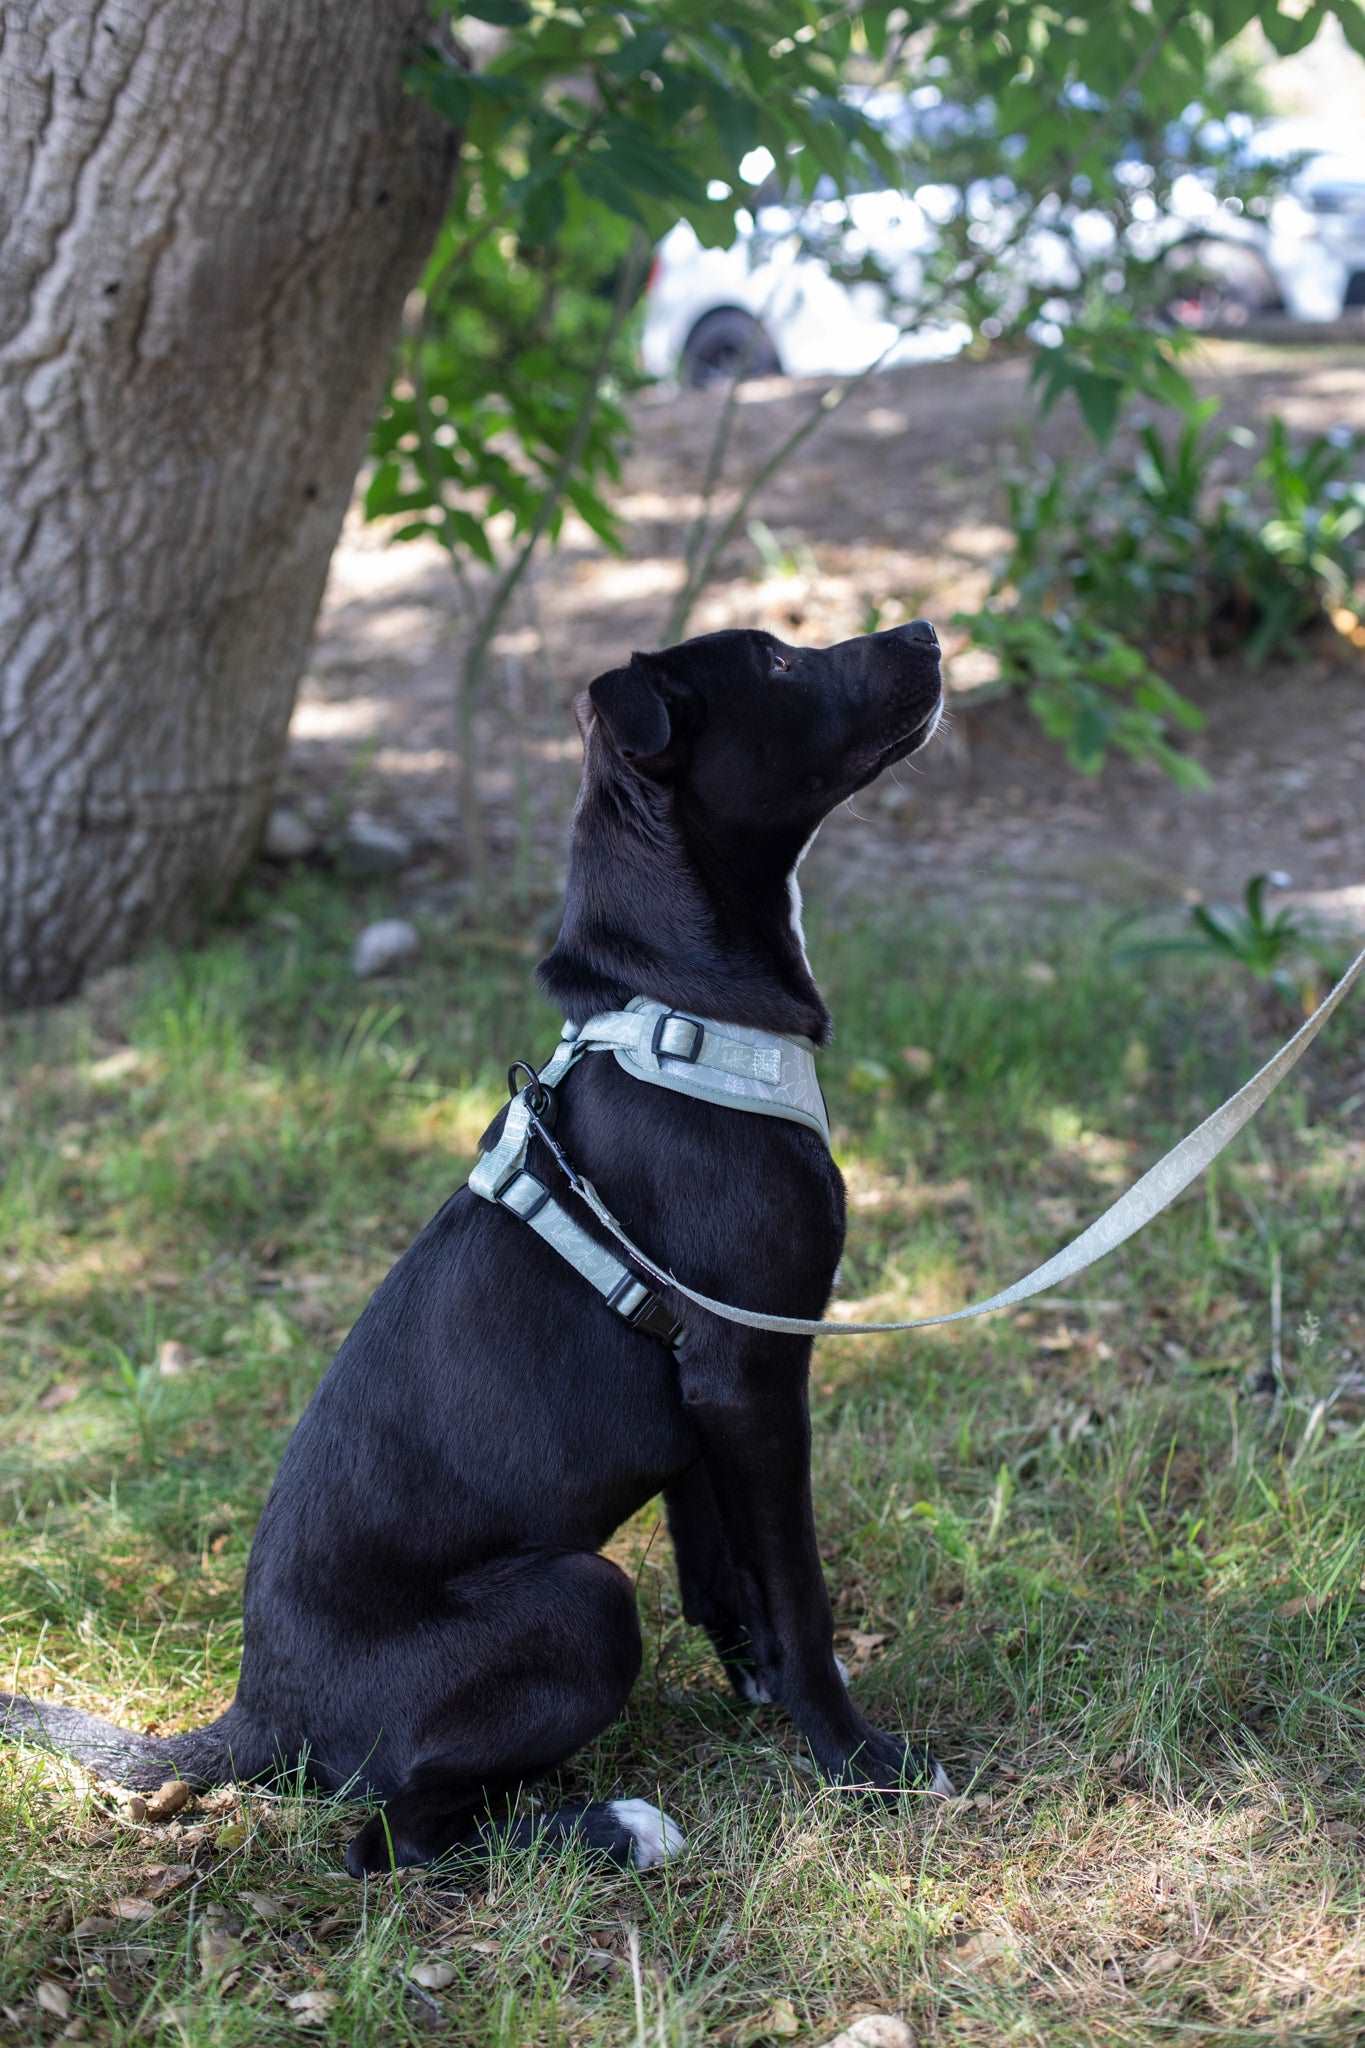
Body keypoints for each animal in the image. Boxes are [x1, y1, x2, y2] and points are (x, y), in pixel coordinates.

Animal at [5, 618, 949, 1875]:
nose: (928, 631)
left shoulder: (702, 1387)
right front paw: (854, 1754)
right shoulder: (755, 1368)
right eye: (784, 664)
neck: (681, 1010)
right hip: (581, 1598)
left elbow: (720, 1563)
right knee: (392, 1837)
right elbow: (796, 1585)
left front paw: (759, 1691)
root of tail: (261, 1713)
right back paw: (616, 1825)